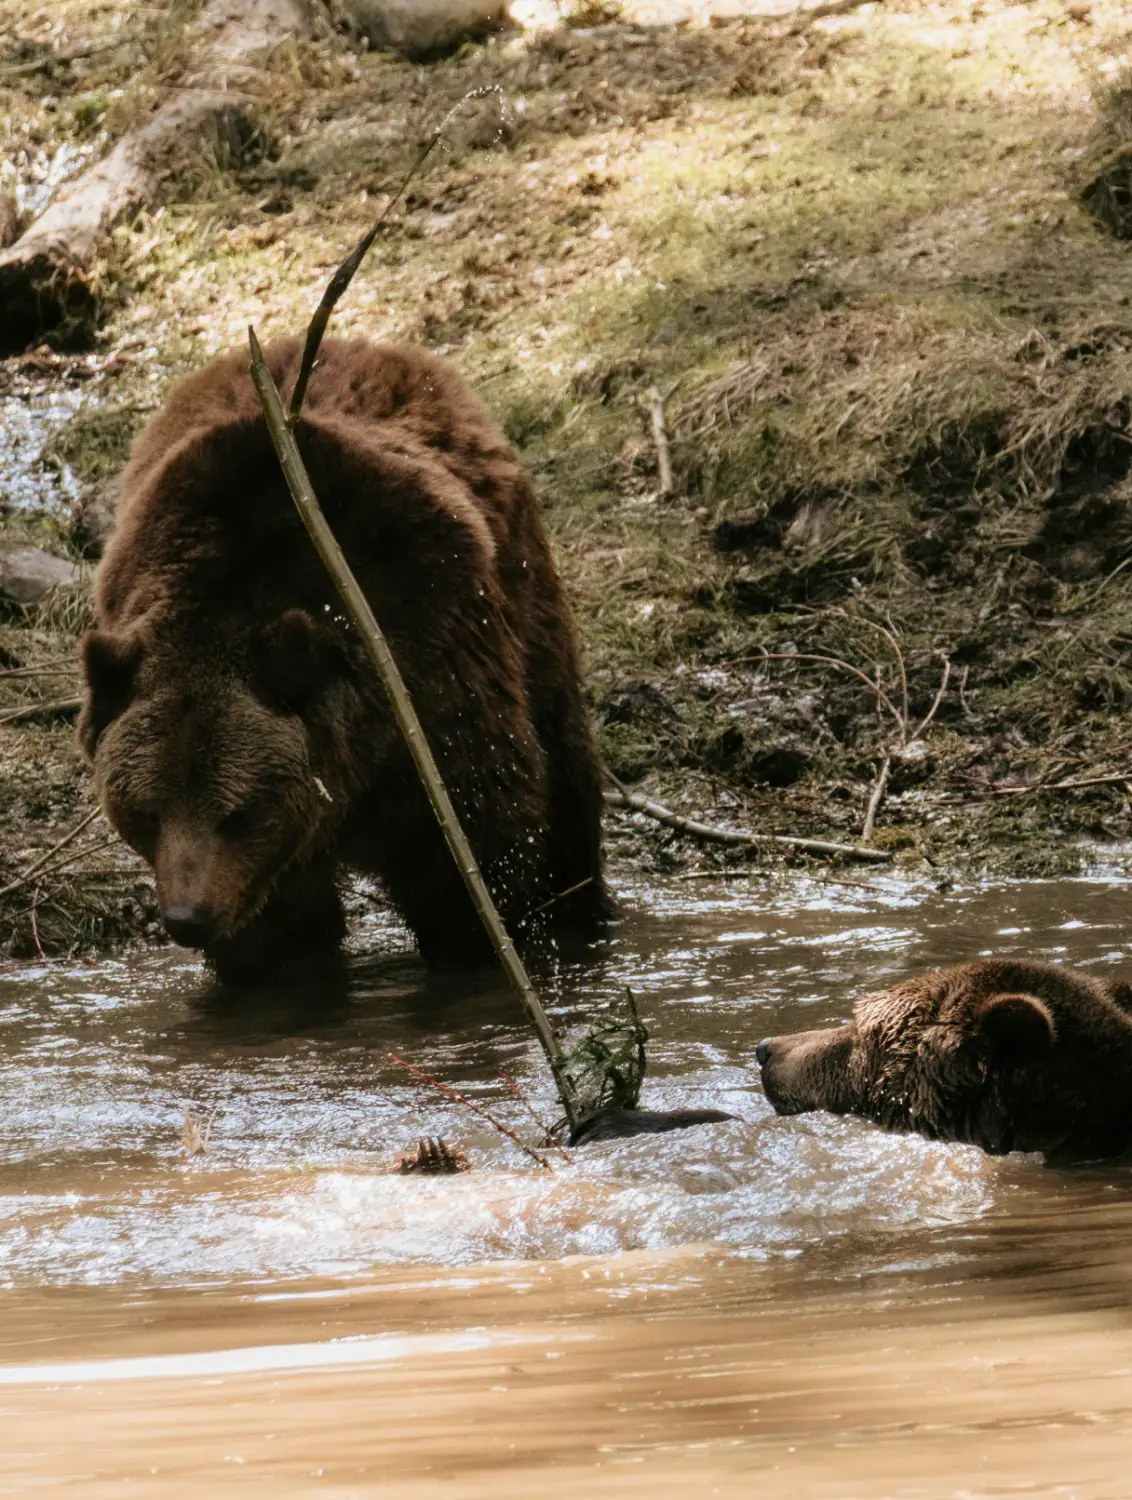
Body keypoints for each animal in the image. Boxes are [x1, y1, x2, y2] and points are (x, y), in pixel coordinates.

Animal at [77, 337, 611, 984]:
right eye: (147, 812)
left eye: (236, 813)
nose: (187, 918)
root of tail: (368, 347)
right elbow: (281, 932)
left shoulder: (432, 664)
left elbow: (473, 844)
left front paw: (482, 943)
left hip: (526, 591)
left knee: (564, 756)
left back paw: (581, 903)